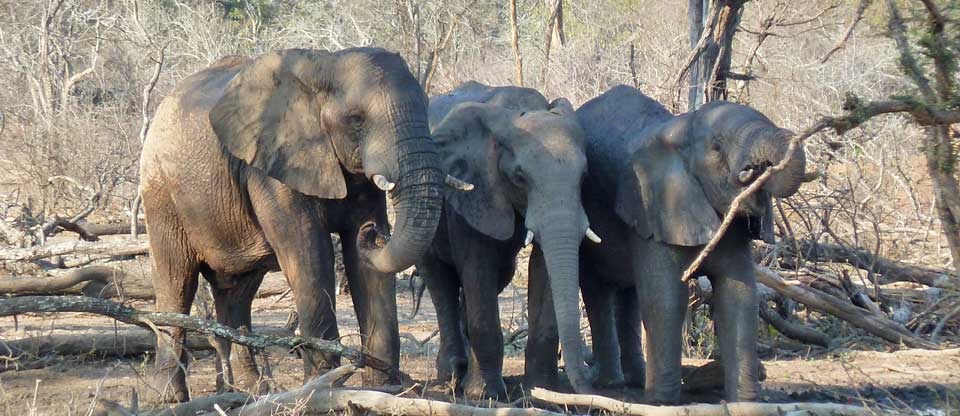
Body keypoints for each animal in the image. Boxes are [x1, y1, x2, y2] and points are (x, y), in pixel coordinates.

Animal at [139, 48, 463, 402]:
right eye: (356, 120)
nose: (375, 233)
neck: (324, 66)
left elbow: (365, 267)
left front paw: (385, 390)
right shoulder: (274, 167)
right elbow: (309, 251)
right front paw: (323, 390)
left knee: (236, 293)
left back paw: (250, 393)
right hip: (161, 192)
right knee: (177, 282)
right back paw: (169, 398)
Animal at [415, 82, 599, 399]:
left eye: (584, 175)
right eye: (519, 177)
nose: (587, 388)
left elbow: (543, 268)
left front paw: (541, 388)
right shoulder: (474, 189)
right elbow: (478, 267)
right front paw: (484, 395)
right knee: (440, 281)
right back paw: (451, 375)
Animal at [527, 85, 806, 403]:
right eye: (717, 147)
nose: (755, 169)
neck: (683, 130)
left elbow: (739, 294)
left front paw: (745, 402)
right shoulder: (654, 209)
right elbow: (666, 298)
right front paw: (662, 402)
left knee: (630, 294)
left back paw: (635, 380)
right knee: (599, 290)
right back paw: (612, 384)